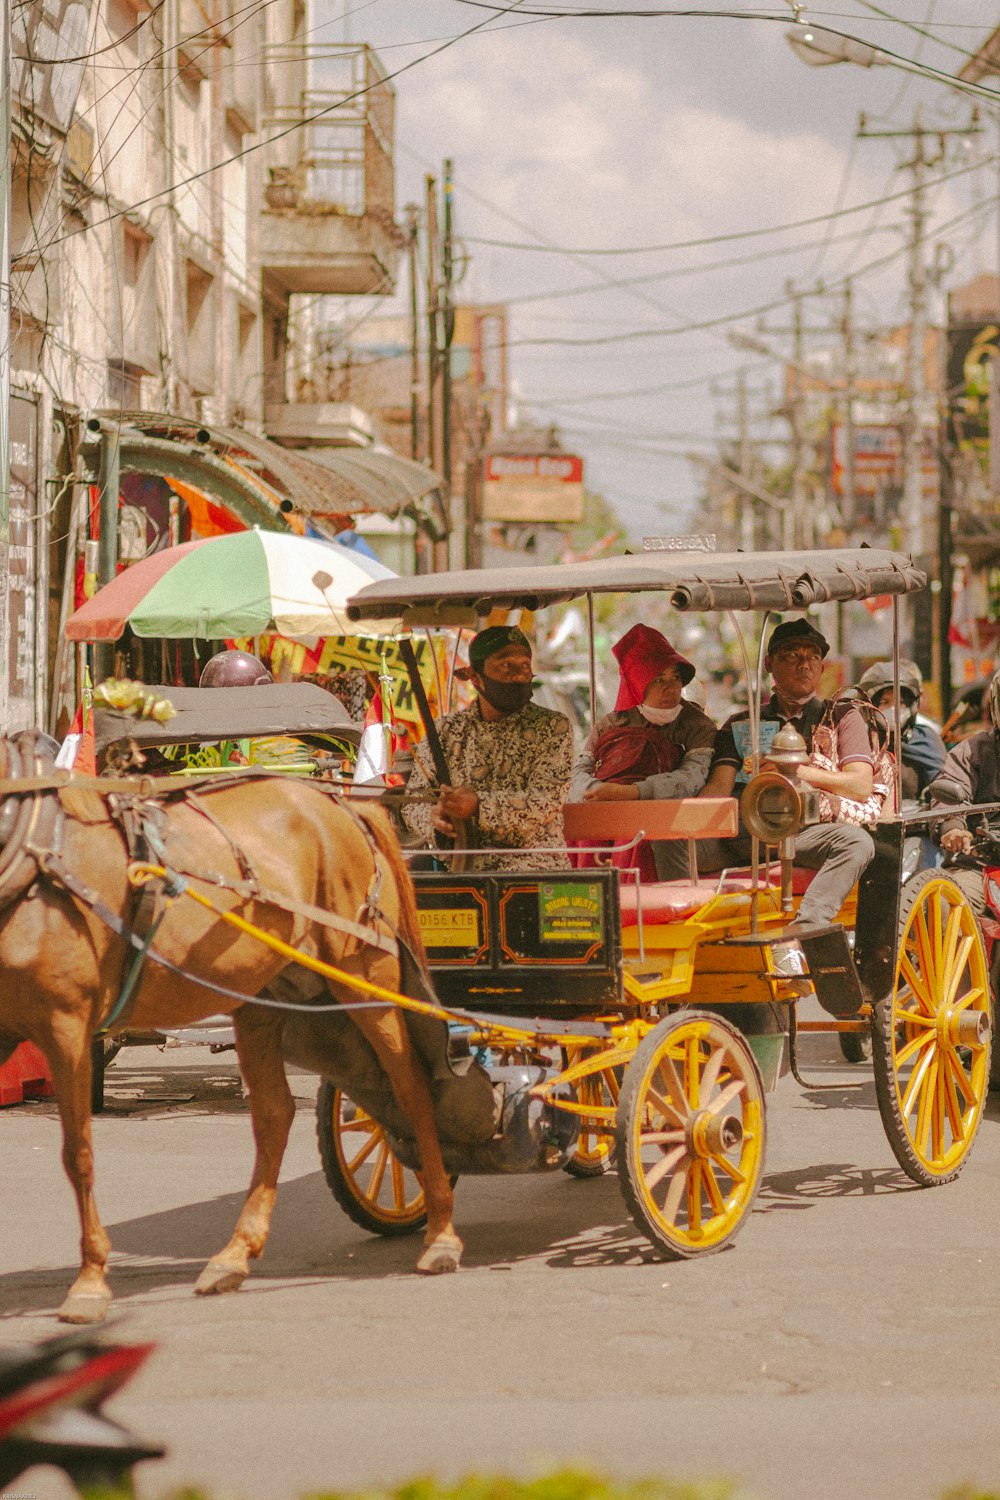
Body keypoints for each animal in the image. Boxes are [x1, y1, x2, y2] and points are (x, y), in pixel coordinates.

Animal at [0, 732, 461, 1320]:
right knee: (275, 1114)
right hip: (261, 993)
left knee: (412, 1085)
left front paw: (89, 1281)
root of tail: (342, 805)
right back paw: (236, 1253)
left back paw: (441, 1232)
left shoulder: (67, 1026)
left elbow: (77, 1151)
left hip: (364, 975)